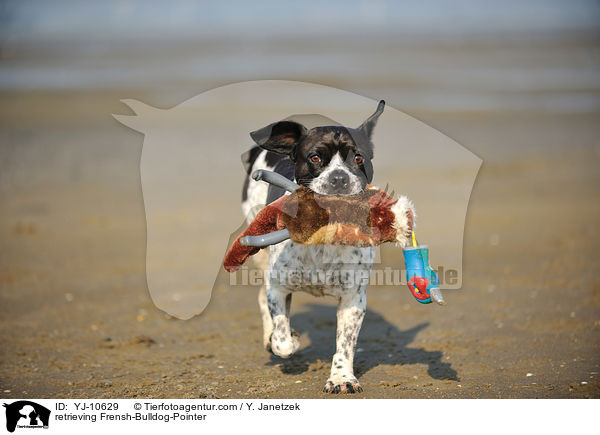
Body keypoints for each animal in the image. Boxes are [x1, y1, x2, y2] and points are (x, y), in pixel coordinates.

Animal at [239, 100, 412, 394]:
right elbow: (282, 338)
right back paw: (268, 337)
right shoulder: (279, 286)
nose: (339, 178)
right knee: (262, 297)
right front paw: (287, 340)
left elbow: (345, 343)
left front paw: (342, 378)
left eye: (358, 158)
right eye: (315, 158)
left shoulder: (353, 298)